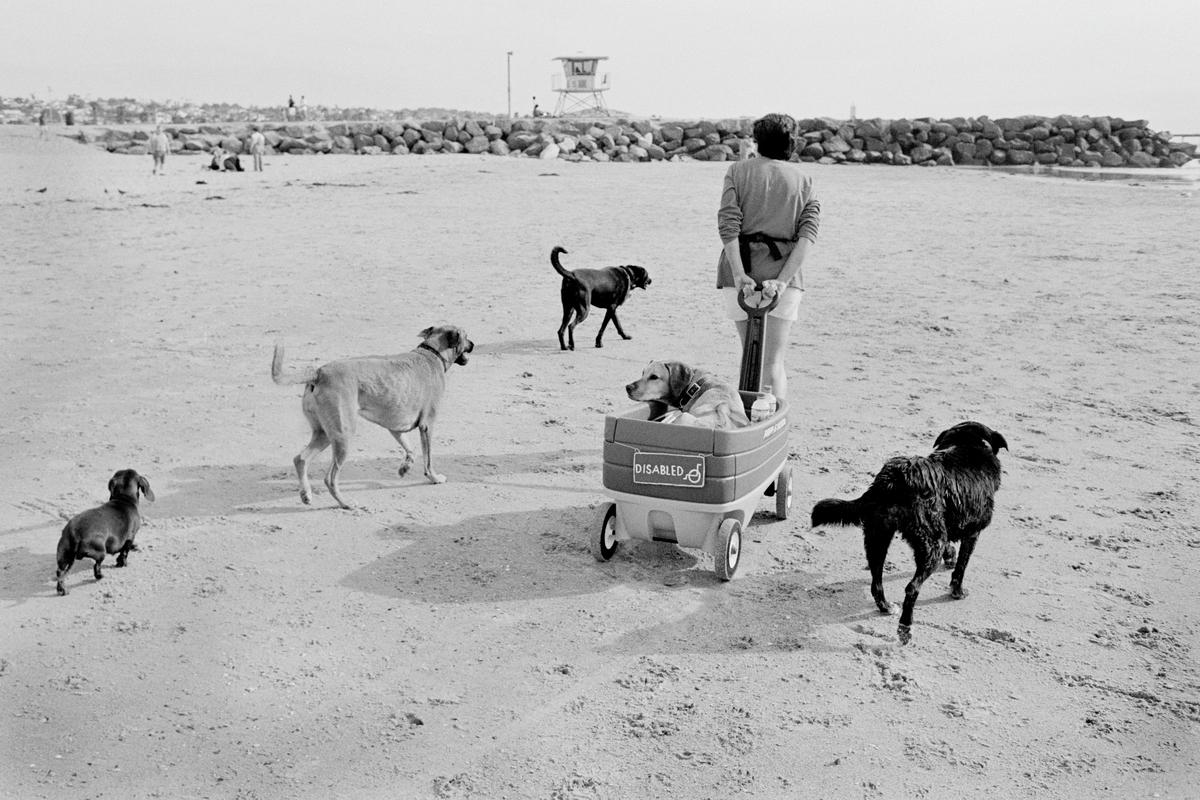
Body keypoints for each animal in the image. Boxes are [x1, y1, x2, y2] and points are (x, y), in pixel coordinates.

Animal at [811, 422, 1008, 647]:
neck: (967, 443)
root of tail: (895, 479)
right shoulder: (973, 533)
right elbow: (961, 568)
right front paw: (957, 592)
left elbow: (952, 549)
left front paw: (950, 557)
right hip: (930, 546)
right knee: (912, 588)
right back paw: (905, 628)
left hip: (878, 536)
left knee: (876, 580)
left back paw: (886, 607)